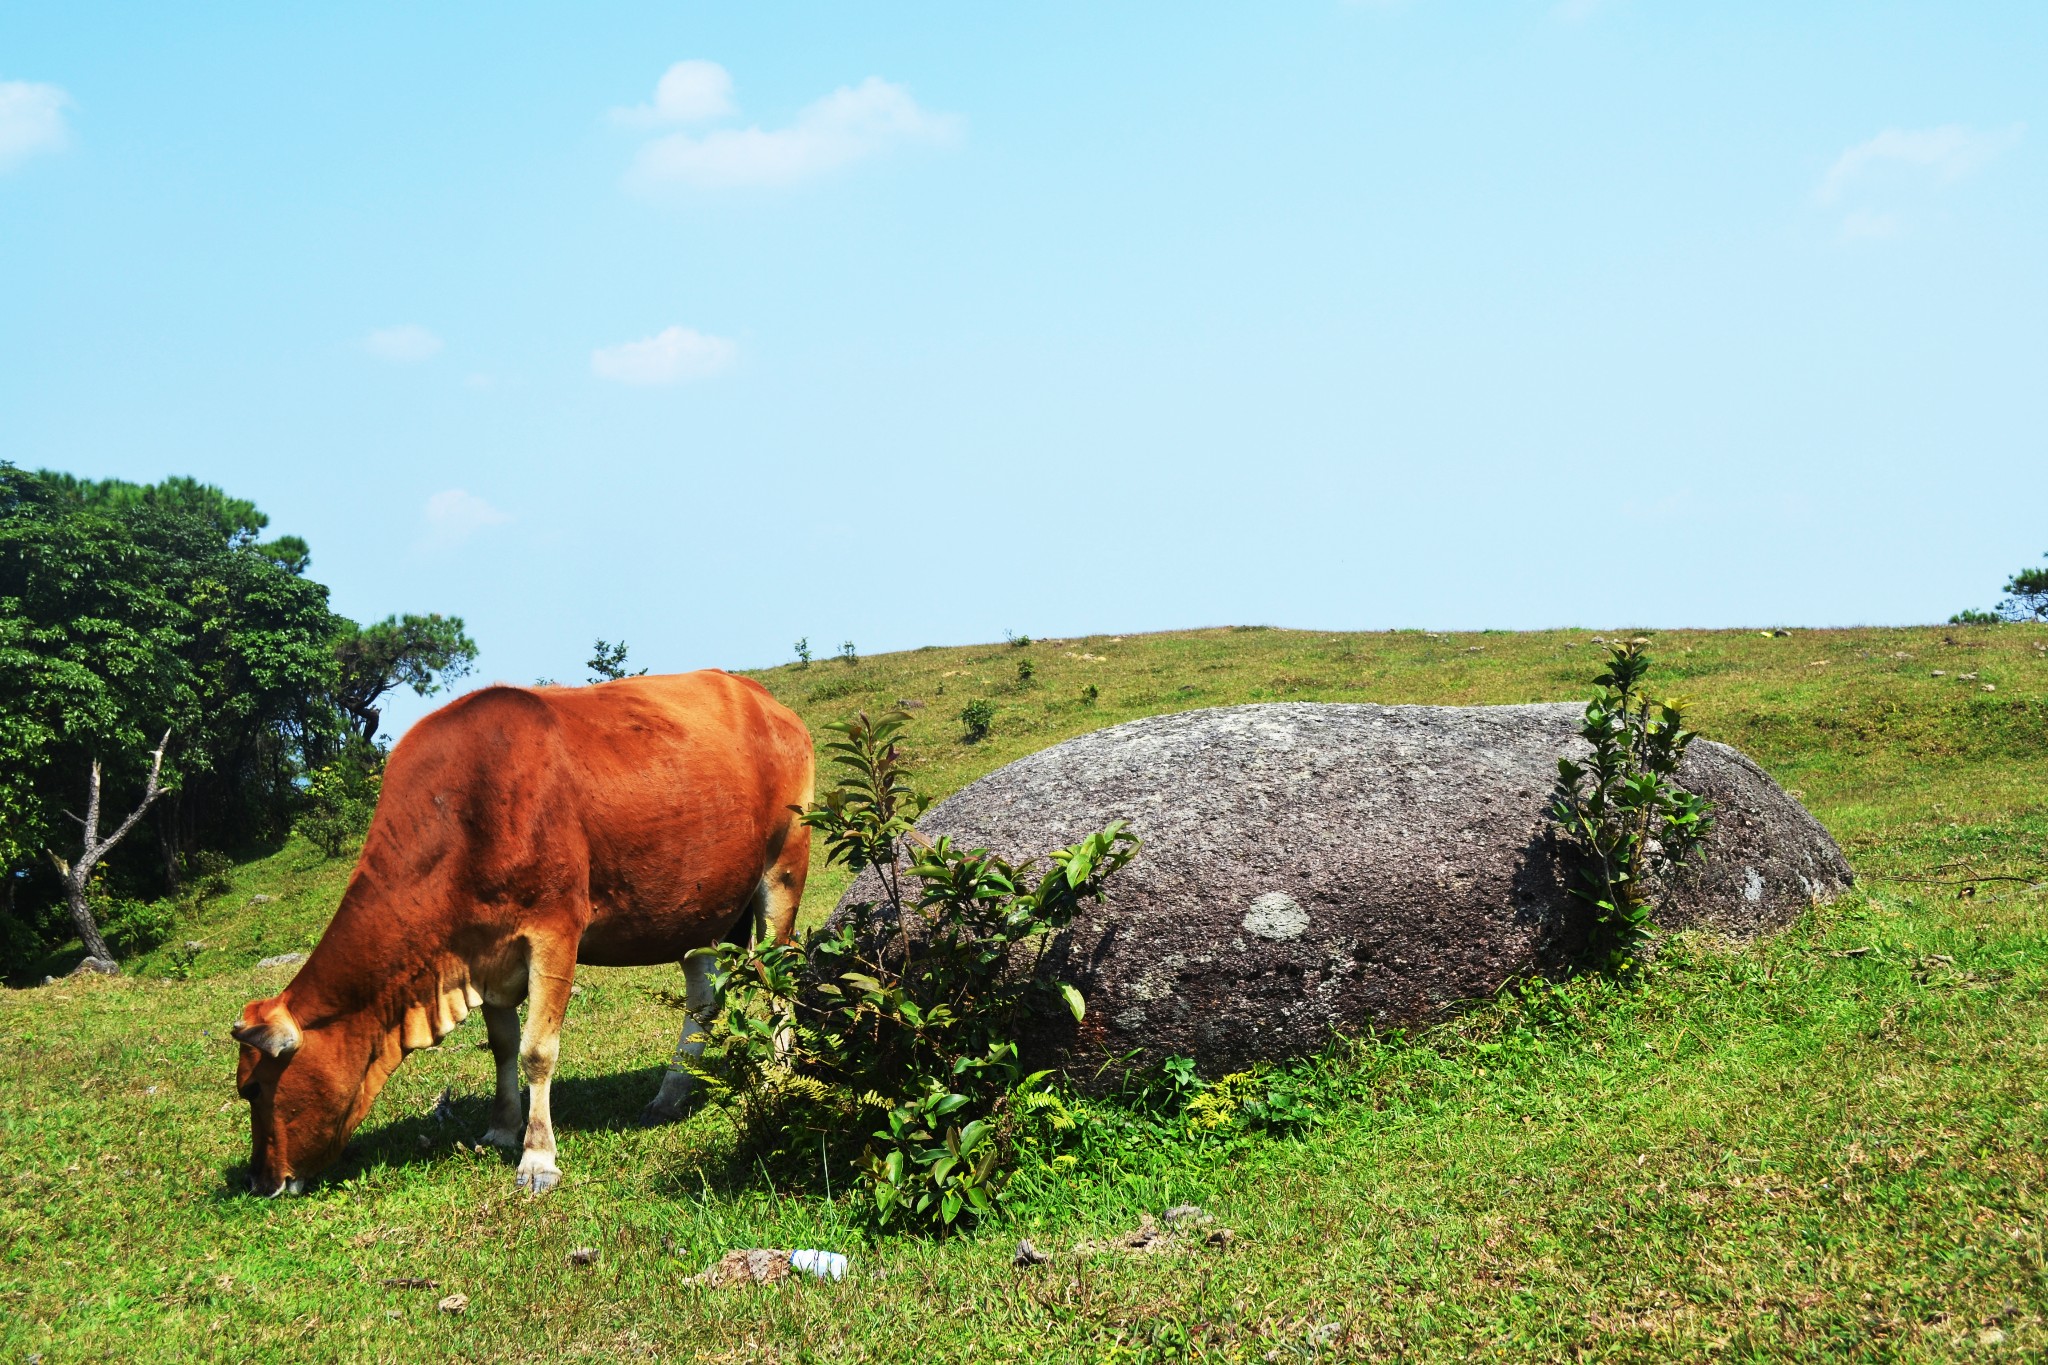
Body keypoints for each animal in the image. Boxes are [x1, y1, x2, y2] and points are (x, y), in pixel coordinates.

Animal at [235, 671, 811, 1195]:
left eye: (254, 1088)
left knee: (780, 977)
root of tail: (767, 702)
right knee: (704, 1001)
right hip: (697, 910)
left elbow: (538, 1050)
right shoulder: (485, 953)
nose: (261, 1180)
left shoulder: (555, 933)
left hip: (784, 868)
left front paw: (538, 1157)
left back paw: (778, 1077)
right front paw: (501, 1127)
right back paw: (669, 1096)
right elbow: (502, 1044)